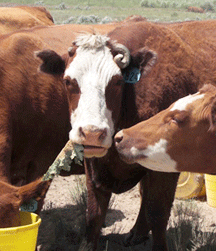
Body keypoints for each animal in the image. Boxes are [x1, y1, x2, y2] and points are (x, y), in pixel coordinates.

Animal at [34, 18, 216, 250]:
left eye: (117, 82)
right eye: (67, 81)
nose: (92, 133)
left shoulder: (165, 167)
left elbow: (158, 215)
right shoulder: (94, 167)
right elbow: (94, 217)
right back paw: (137, 233)